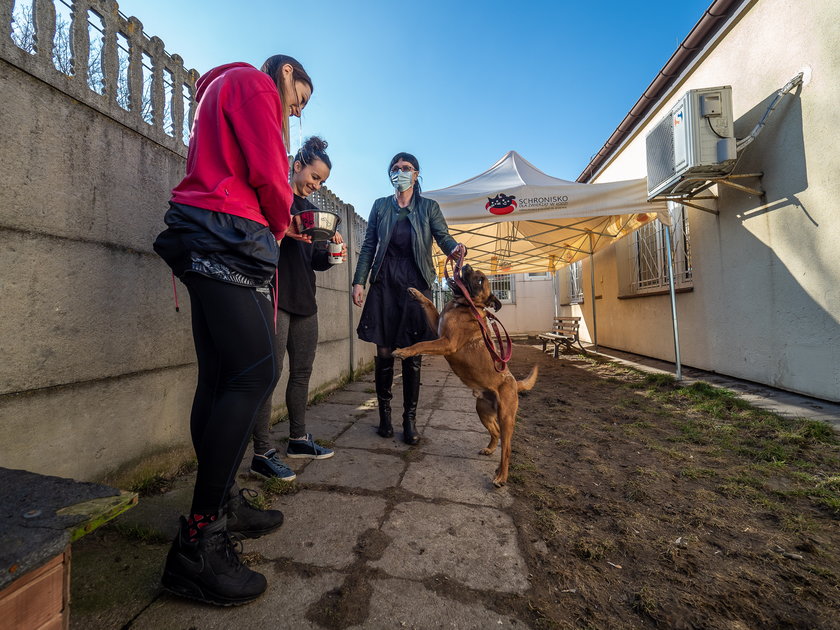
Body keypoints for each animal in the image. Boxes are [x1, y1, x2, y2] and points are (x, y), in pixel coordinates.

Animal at [394, 266, 540, 488]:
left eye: (480, 280)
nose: (466, 265)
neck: (463, 304)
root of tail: (514, 382)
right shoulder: (437, 326)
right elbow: (429, 303)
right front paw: (416, 293)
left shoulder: (446, 342)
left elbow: (420, 344)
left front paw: (403, 351)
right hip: (482, 410)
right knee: (495, 432)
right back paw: (490, 449)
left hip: (506, 417)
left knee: (507, 449)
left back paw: (501, 476)